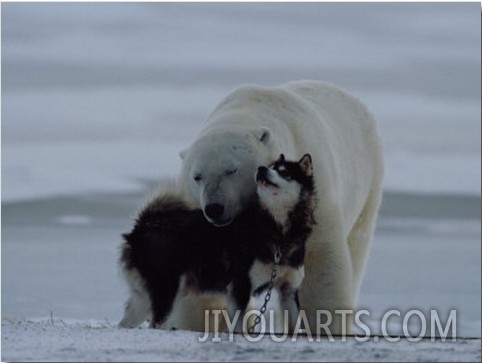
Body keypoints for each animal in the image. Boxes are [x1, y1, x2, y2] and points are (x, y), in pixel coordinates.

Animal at [118, 154, 316, 332]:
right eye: (270, 167)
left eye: (284, 172)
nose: (261, 169)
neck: (277, 229)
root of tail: (143, 226)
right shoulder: (241, 286)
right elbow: (238, 325)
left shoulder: (289, 289)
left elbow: (297, 324)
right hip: (166, 290)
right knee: (156, 323)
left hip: (144, 298)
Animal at [173, 80, 384, 336]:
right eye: (197, 176)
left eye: (231, 170)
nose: (214, 208)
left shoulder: (313, 198)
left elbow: (319, 264)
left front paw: (323, 325)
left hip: (368, 179)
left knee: (357, 242)